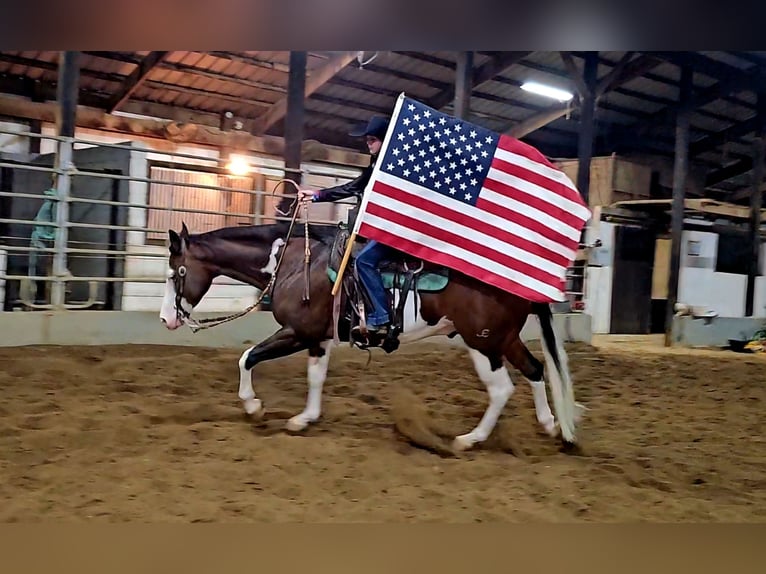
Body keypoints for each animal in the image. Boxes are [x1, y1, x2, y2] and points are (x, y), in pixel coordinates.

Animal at [160, 218, 584, 452]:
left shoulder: (297, 332)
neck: (296, 262)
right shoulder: (317, 338)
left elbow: (247, 357)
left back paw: (469, 440)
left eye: (176, 272)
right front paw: (304, 419)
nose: (167, 319)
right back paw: (553, 427)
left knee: (502, 389)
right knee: (535, 369)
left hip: (482, 341)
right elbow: (315, 377)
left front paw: (253, 406)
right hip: (500, 338)